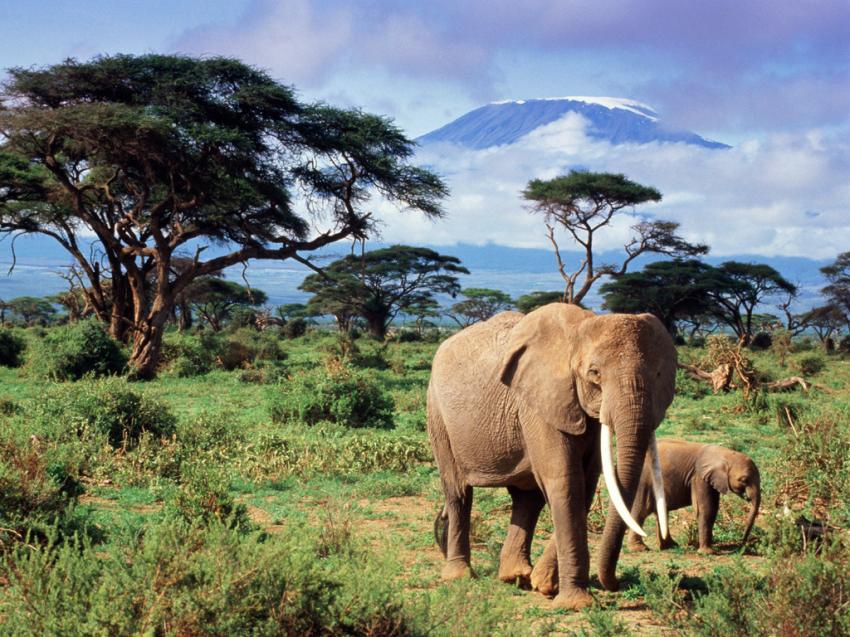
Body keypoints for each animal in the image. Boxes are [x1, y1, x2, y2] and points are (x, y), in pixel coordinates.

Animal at [427, 303, 677, 610]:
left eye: (658, 375)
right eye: (594, 373)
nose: (616, 584)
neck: (580, 329)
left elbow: (586, 483)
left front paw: (545, 585)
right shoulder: (540, 401)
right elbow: (566, 480)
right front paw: (575, 604)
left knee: (527, 498)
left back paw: (516, 576)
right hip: (437, 414)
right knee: (459, 492)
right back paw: (460, 576)